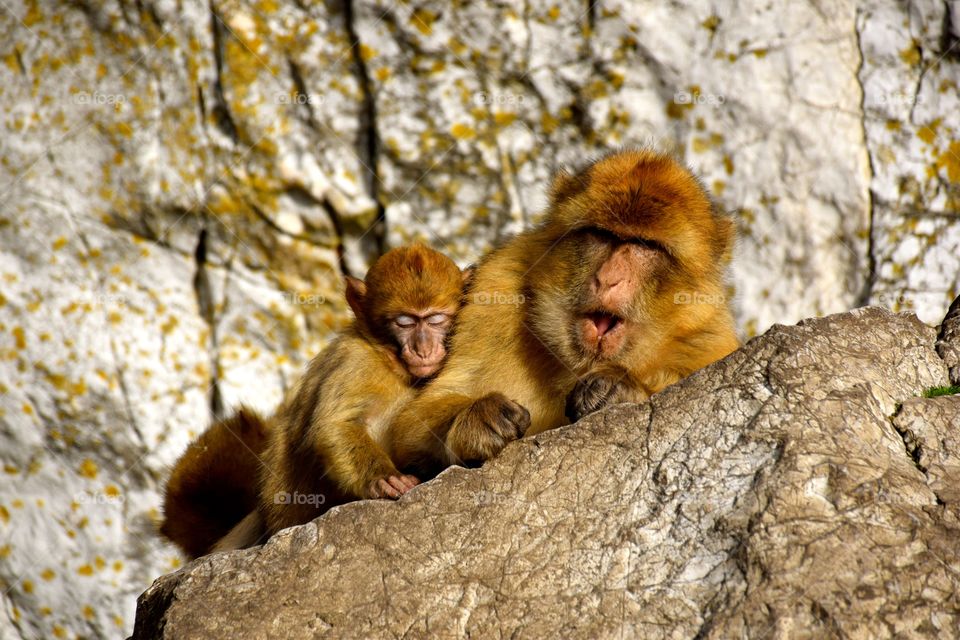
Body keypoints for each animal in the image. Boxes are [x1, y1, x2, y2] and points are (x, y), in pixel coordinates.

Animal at [160, 244, 472, 558]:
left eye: (435, 320)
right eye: (404, 323)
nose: (423, 349)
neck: (391, 361)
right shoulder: (355, 360)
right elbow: (334, 426)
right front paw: (382, 478)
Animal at [385, 149, 739, 477]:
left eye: (644, 245)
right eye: (603, 235)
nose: (608, 278)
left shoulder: (710, 337)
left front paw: (618, 388)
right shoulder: (497, 287)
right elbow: (413, 424)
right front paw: (479, 418)